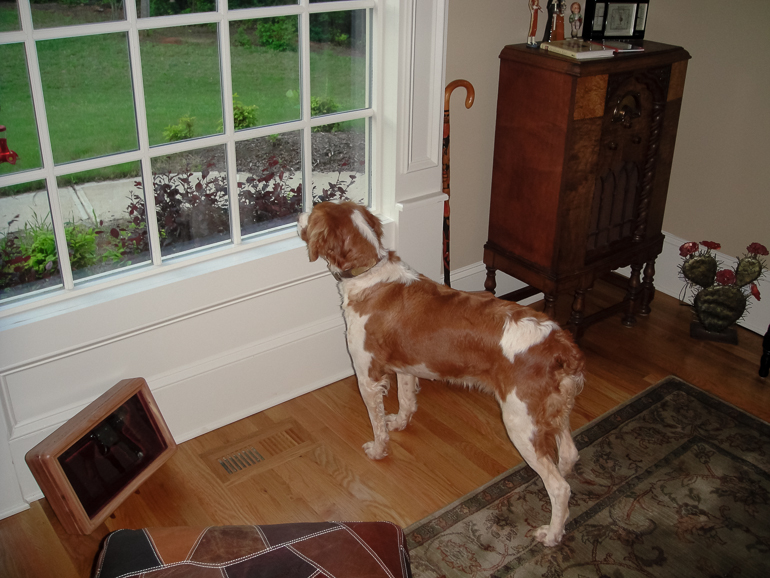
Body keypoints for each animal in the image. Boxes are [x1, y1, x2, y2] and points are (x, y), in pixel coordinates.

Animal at [296, 199, 584, 544]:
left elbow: (376, 423)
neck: (371, 274)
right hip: (552, 412)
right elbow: (406, 402)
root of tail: (560, 343)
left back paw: (552, 533)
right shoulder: (406, 367)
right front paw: (400, 423)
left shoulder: (367, 375)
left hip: (521, 422)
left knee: (559, 486)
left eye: (313, 212)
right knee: (569, 454)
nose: (298, 214)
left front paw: (378, 450)